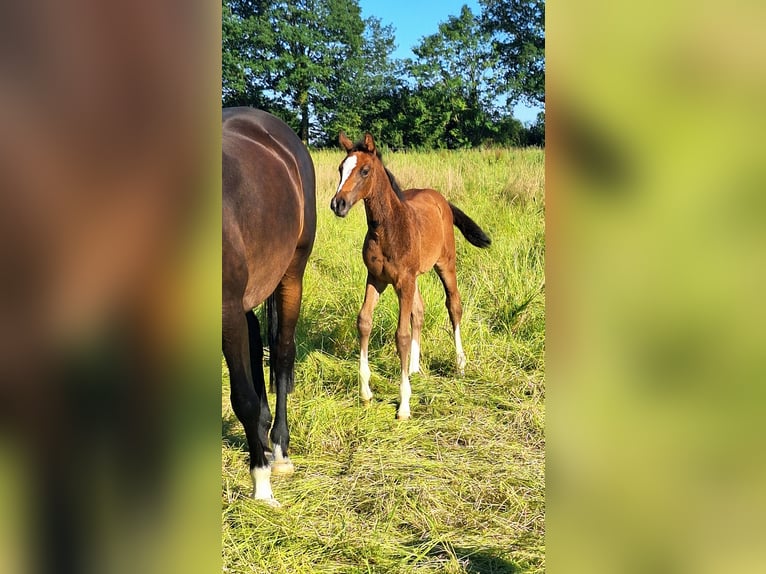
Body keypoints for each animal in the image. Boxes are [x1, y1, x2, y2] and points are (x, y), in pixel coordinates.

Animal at [330, 132, 490, 420]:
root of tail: (440, 198)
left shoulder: (403, 281)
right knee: (420, 309)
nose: (338, 204)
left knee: (454, 305)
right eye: (341, 168)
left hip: (445, 264)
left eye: (365, 170)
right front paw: (365, 393)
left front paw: (404, 404)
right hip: (413, 278)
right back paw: (414, 366)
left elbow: (401, 335)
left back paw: (460, 364)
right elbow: (364, 322)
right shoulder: (377, 278)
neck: (388, 228)